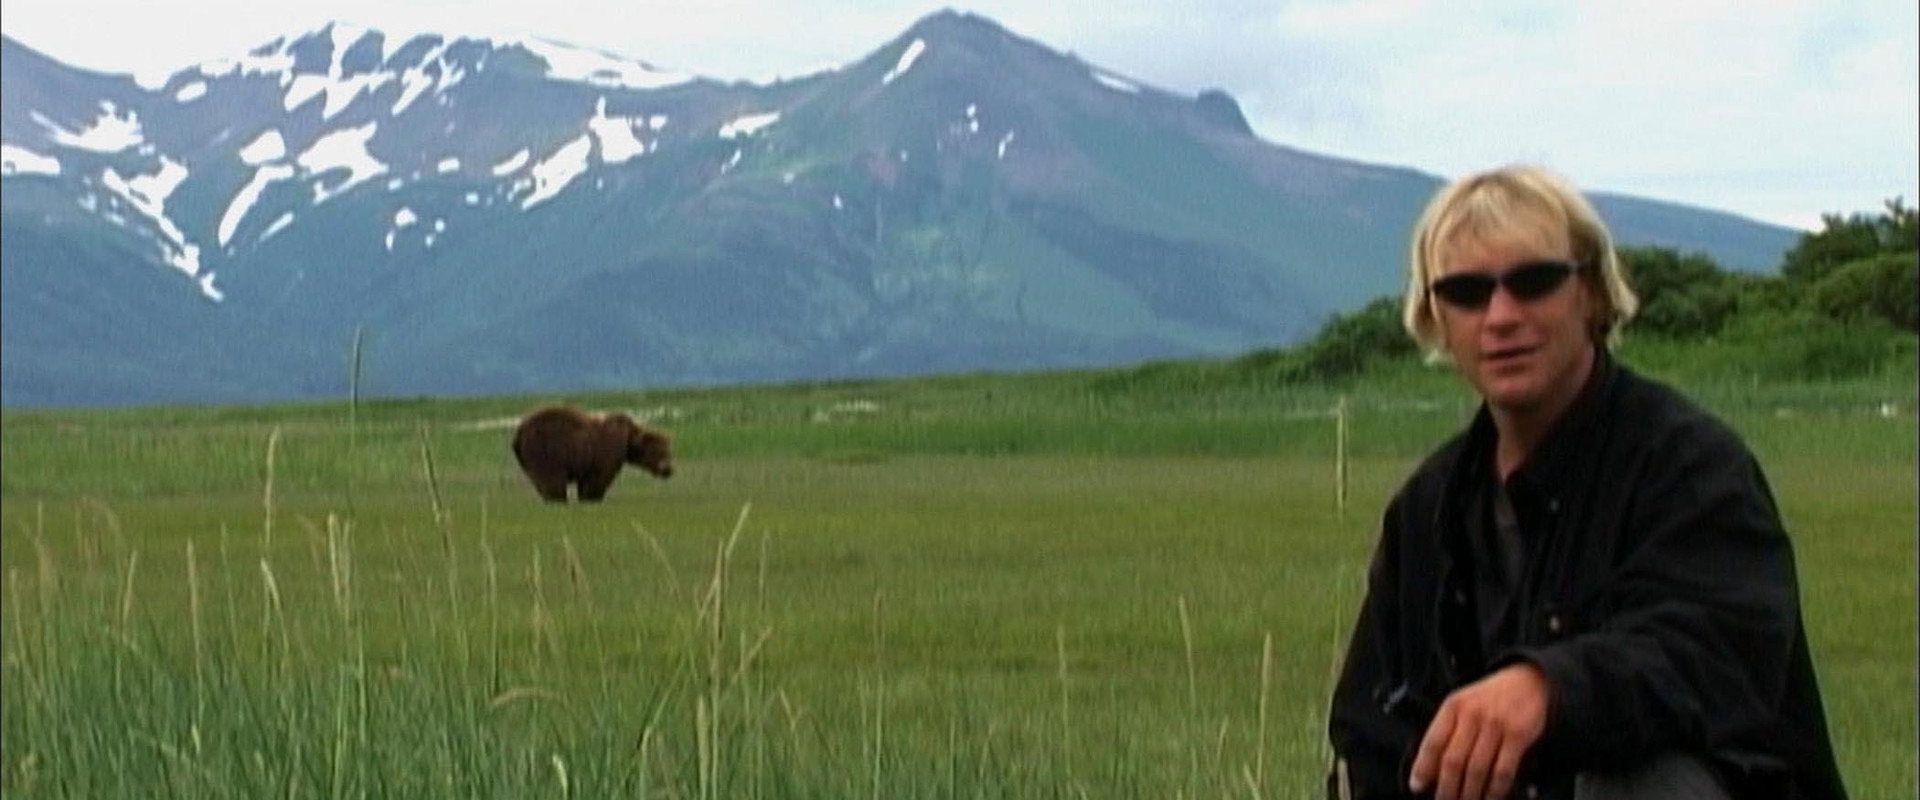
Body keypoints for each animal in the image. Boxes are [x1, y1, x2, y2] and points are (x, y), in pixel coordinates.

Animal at [511, 405, 674, 502]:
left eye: (668, 451)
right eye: (658, 452)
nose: (668, 470)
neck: (629, 438)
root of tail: (519, 431)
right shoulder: (605, 453)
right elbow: (598, 480)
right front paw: (592, 497)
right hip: (548, 450)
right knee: (553, 480)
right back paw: (558, 499)